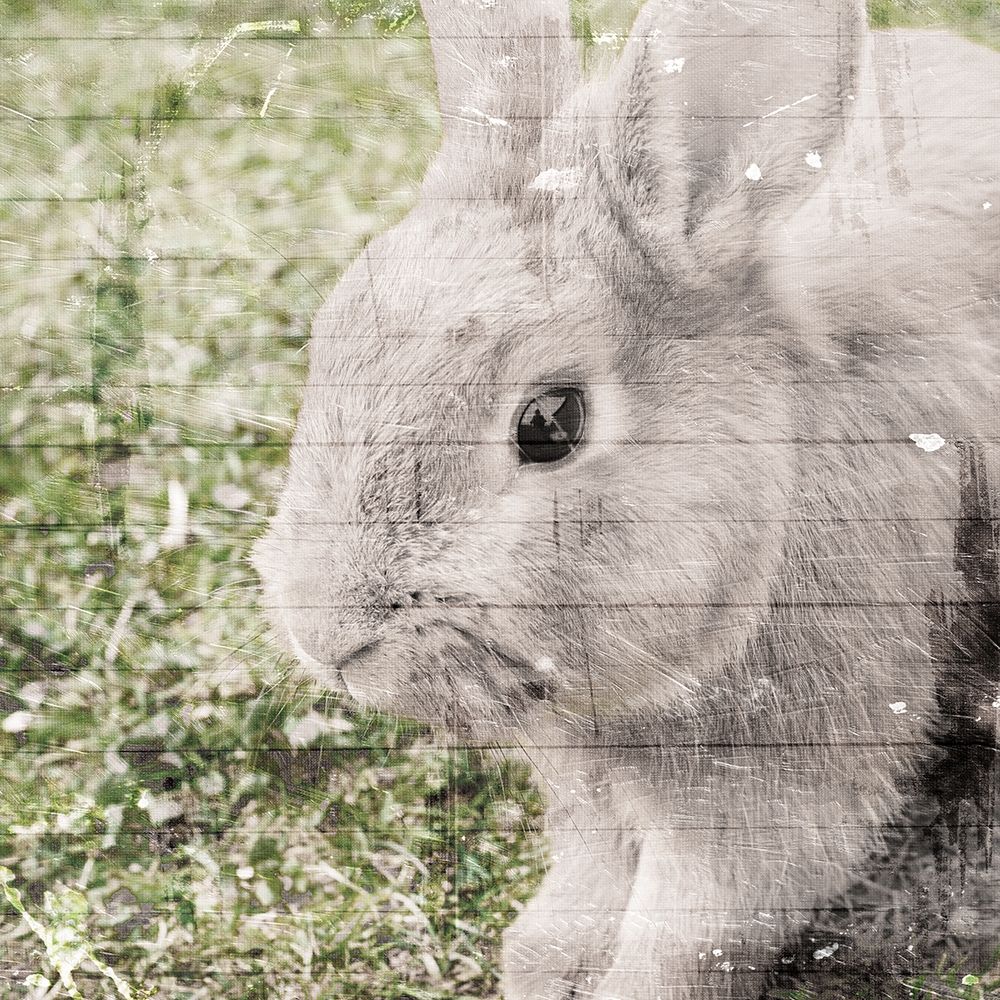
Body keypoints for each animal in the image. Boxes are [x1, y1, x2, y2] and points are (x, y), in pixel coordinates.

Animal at [253, 1, 1000, 997]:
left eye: (550, 424)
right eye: (329, 339)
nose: (326, 635)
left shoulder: (789, 773)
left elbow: (692, 927)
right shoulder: (588, 779)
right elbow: (590, 881)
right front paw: (542, 967)